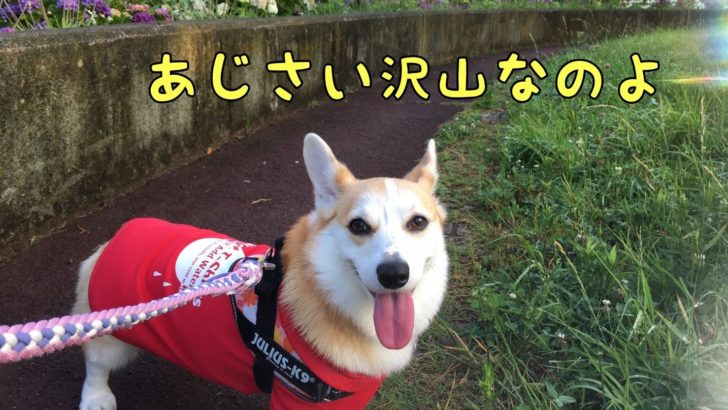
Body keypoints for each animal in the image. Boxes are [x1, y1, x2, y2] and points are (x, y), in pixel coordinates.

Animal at [73, 133, 449, 409]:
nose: (394, 274)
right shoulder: (298, 400)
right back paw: (96, 398)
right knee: (95, 361)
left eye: (418, 222)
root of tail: (116, 237)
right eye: (358, 225)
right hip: (111, 330)